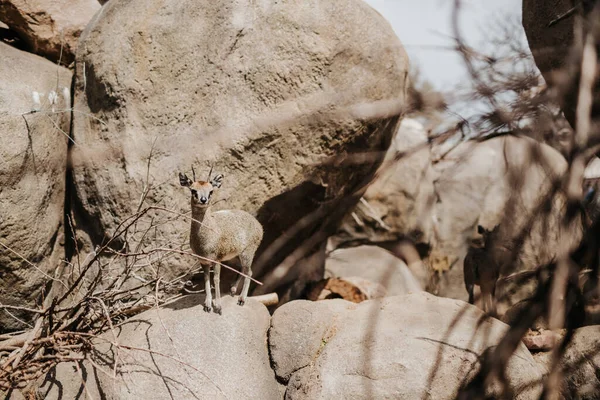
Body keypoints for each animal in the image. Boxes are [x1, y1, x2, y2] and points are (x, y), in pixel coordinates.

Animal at [178, 167, 262, 314]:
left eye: (211, 191)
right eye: (193, 190)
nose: (203, 199)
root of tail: (260, 226)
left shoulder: (216, 259)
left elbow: (216, 279)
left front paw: (218, 306)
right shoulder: (203, 261)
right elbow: (206, 279)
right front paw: (207, 304)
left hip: (248, 252)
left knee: (249, 271)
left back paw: (241, 299)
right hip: (234, 256)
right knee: (241, 269)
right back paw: (232, 289)